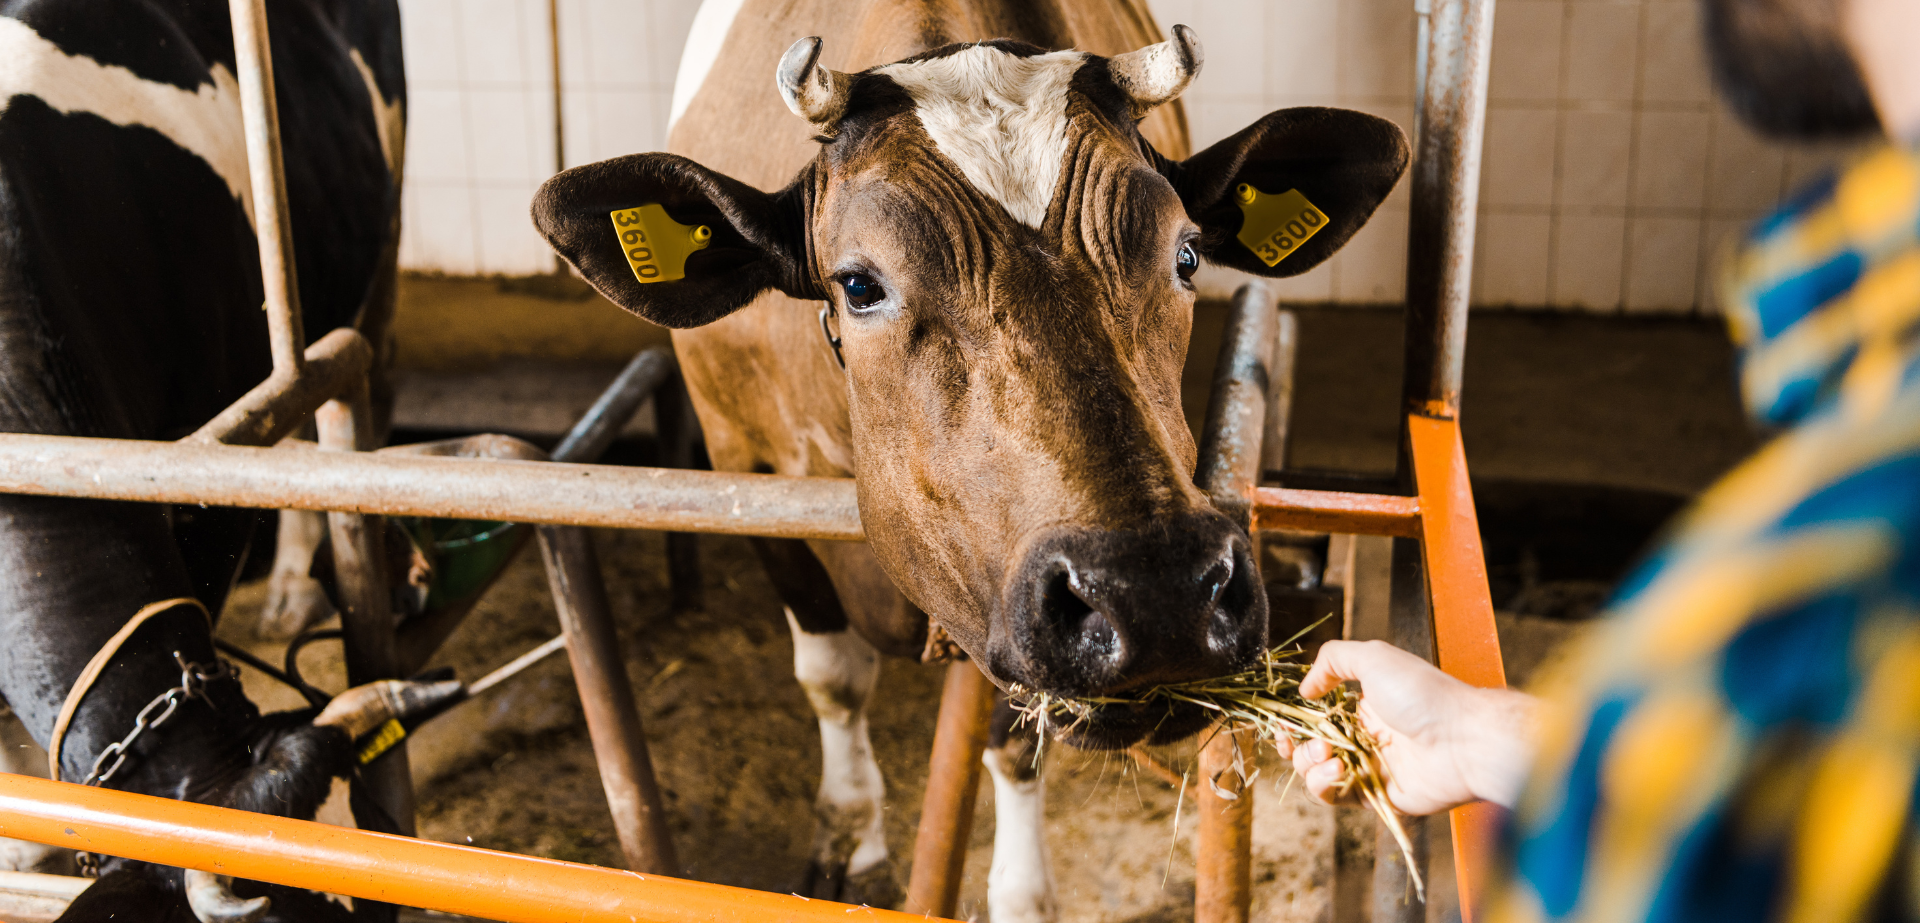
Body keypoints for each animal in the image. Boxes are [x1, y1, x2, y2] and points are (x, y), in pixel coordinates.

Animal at [534, 2, 1408, 917]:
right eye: (858, 285)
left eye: (1186, 254)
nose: (1157, 592)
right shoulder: (743, 463)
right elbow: (831, 678)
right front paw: (850, 836)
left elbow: (1013, 736)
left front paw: (1020, 890)